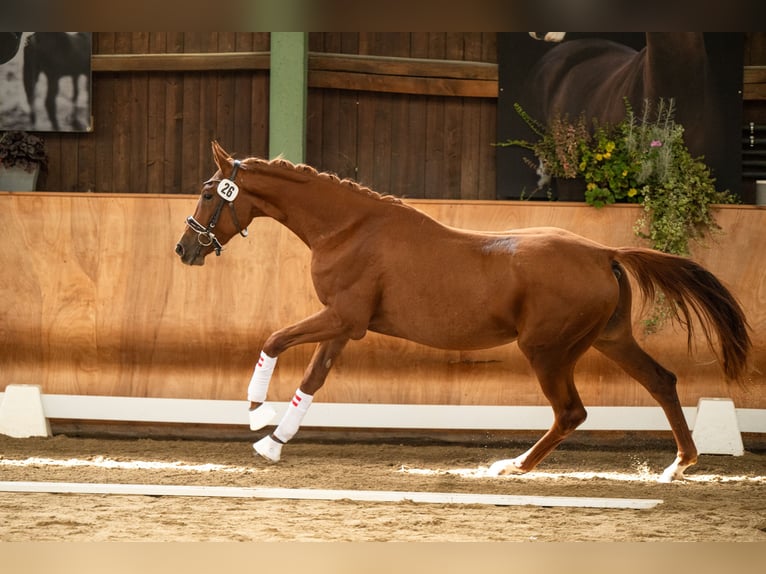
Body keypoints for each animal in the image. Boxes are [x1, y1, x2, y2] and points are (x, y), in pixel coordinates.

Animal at [177, 143, 752, 482]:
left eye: (208, 192)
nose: (184, 250)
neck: (348, 228)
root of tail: (602, 253)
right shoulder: (345, 325)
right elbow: (313, 380)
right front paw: (274, 443)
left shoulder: (343, 318)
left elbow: (274, 340)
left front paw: (258, 416)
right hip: (609, 339)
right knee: (661, 381)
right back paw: (679, 464)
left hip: (548, 350)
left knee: (571, 412)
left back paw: (512, 466)